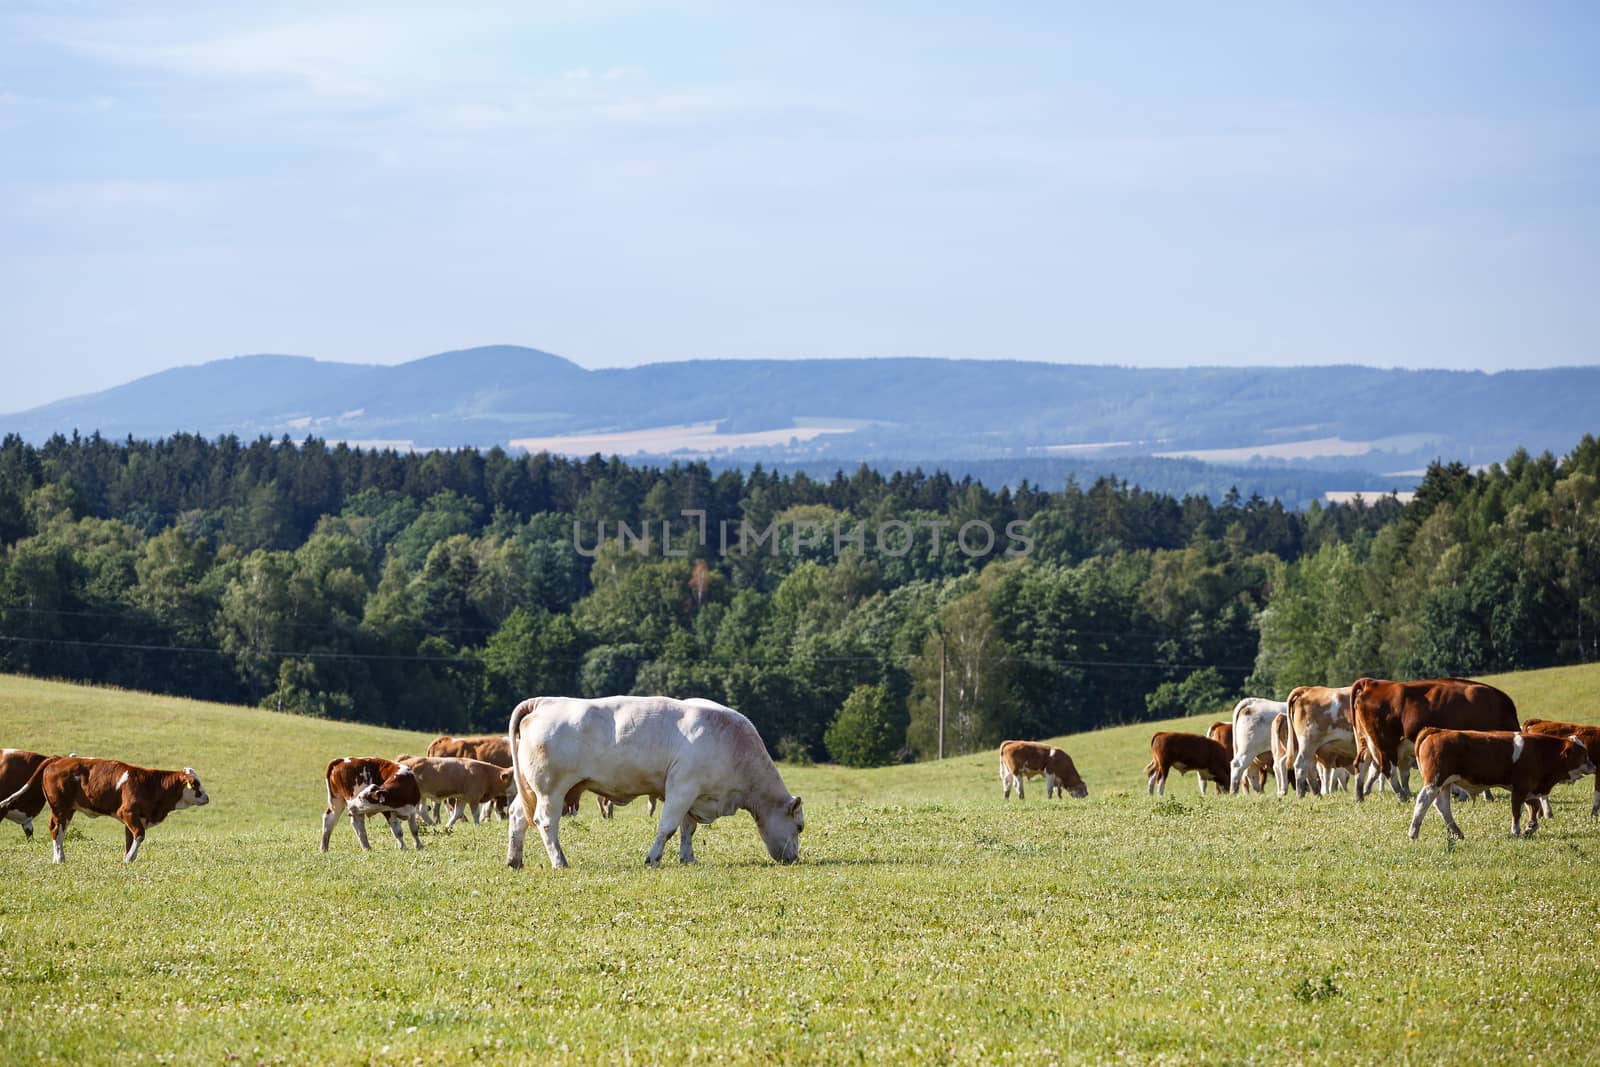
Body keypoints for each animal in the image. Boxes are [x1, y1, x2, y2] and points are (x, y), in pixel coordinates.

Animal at [0, 755, 208, 863]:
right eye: (196, 784)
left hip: (68, 809)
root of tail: (60, 759)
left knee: (59, 829)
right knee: (56, 828)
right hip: (59, 806)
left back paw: (59, 857)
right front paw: (129, 858)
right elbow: (139, 835)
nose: (207, 797)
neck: (151, 784)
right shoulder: (127, 813)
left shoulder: (133, 818)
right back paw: (59, 858)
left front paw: (128, 859)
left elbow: (129, 838)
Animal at [505, 697, 806, 870]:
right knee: (546, 822)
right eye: (799, 827)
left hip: (530, 788)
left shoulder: (693, 794)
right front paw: (653, 859)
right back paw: (559, 862)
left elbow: (688, 829)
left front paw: (688, 858)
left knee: (517, 816)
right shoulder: (682, 787)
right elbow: (668, 828)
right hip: (550, 790)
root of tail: (546, 702)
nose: (794, 858)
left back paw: (515, 860)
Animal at [1350, 675, 1510, 799]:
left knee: (1361, 763)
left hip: (1366, 741)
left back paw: (1359, 796)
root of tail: (1371, 683)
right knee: (1387, 768)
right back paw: (1402, 796)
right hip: (1386, 743)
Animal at [1408, 729, 1593, 838]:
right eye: (1583, 754)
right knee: (1423, 801)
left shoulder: (1529, 788)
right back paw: (1413, 833)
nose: (1594, 766)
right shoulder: (1520, 787)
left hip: (1445, 784)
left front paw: (1530, 827)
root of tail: (1436, 731)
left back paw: (1457, 832)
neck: (1541, 751)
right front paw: (1516, 831)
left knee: (1442, 805)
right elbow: (1517, 810)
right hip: (1434, 782)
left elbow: (1533, 806)